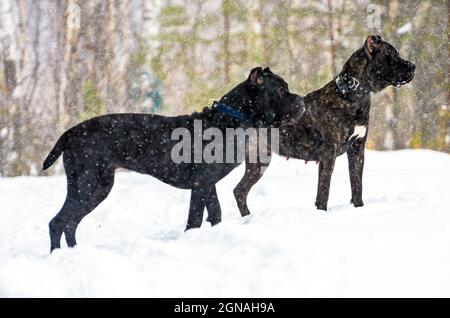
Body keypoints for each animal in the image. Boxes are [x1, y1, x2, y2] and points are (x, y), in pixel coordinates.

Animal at [43, 66, 302, 251]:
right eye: (280, 90)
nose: (301, 102)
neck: (229, 121)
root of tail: (70, 132)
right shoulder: (201, 185)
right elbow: (195, 219)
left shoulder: (208, 185)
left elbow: (215, 214)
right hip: (88, 184)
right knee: (58, 222)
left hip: (97, 187)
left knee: (70, 223)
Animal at [232, 35, 414, 216]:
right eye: (392, 55)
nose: (413, 66)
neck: (353, 95)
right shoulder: (329, 153)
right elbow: (324, 189)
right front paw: (322, 212)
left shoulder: (357, 149)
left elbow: (357, 185)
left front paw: (359, 208)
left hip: (258, 162)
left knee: (240, 190)